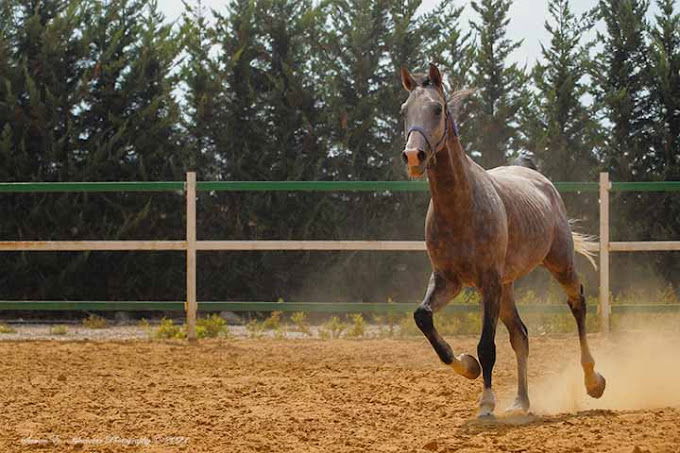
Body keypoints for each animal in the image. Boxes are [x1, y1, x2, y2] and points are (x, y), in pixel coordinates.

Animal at [398, 63, 604, 416]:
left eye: (437, 109)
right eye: (403, 110)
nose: (414, 155)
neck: (460, 207)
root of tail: (536, 177)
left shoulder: (488, 282)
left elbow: (486, 345)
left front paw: (486, 403)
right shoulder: (448, 280)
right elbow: (423, 316)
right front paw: (467, 366)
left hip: (558, 263)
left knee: (577, 303)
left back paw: (593, 381)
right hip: (507, 287)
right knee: (520, 335)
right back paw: (521, 402)